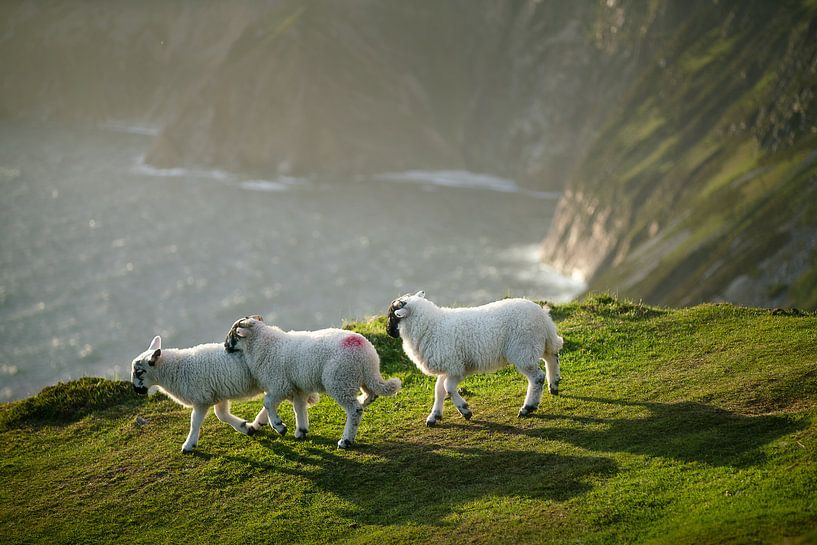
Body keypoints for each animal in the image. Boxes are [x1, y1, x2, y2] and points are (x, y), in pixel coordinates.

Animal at [130, 334, 269, 453]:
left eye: (139, 372)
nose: (136, 390)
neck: (176, 369)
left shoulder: (201, 400)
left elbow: (194, 422)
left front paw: (188, 445)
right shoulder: (218, 394)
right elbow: (221, 415)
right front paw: (245, 428)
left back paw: (261, 420)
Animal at [224, 316, 401, 449]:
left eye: (233, 334)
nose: (225, 347)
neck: (264, 344)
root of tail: (366, 354)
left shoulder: (279, 384)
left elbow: (267, 403)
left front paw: (279, 426)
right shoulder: (297, 388)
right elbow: (299, 407)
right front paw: (301, 430)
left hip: (340, 381)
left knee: (355, 410)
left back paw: (346, 441)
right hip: (360, 379)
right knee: (371, 395)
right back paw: (362, 402)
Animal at [386, 291, 563, 425]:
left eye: (393, 316)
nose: (388, 331)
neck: (431, 326)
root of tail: (542, 315)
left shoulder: (457, 368)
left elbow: (448, 388)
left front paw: (465, 410)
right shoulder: (448, 366)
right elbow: (439, 390)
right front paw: (434, 416)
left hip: (523, 350)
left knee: (537, 377)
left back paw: (528, 407)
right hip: (538, 344)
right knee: (552, 356)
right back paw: (554, 385)